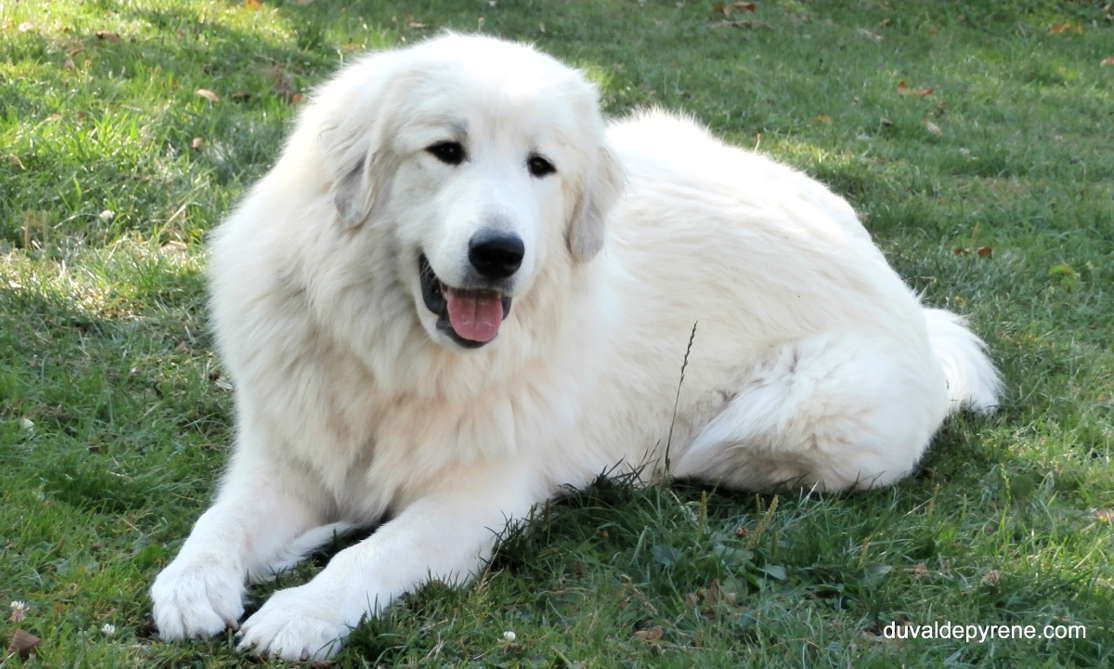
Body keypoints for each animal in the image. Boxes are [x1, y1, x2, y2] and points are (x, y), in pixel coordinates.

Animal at [150, 33, 1002, 658]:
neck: (399, 361)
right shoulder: (283, 454)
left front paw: (301, 611)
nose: (500, 253)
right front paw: (193, 585)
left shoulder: (477, 502)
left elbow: (375, 552)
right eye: (446, 151)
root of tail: (909, 299)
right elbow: (219, 521)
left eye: (540, 167)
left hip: (791, 418)